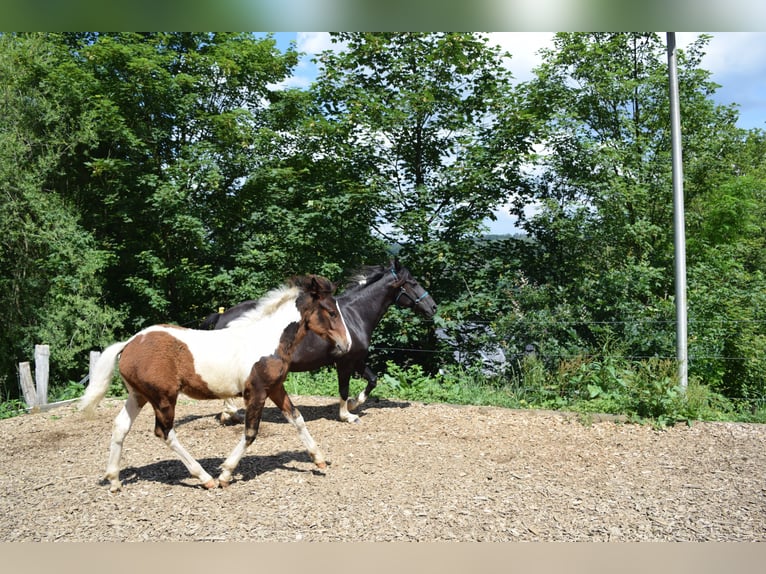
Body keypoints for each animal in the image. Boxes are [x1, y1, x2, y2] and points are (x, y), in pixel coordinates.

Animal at [80, 276, 352, 492]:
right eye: (331, 311)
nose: (346, 344)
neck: (266, 340)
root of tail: (129, 344)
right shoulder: (256, 392)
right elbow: (250, 432)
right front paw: (225, 474)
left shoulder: (275, 388)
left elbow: (297, 419)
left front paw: (319, 459)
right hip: (163, 398)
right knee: (164, 432)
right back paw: (205, 478)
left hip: (139, 395)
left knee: (120, 426)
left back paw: (114, 480)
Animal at [206, 264, 438, 426]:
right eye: (413, 282)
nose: (433, 307)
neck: (354, 315)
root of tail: (222, 316)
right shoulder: (345, 362)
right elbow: (343, 388)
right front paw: (347, 415)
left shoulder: (357, 359)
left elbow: (372, 380)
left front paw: (354, 403)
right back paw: (232, 414)